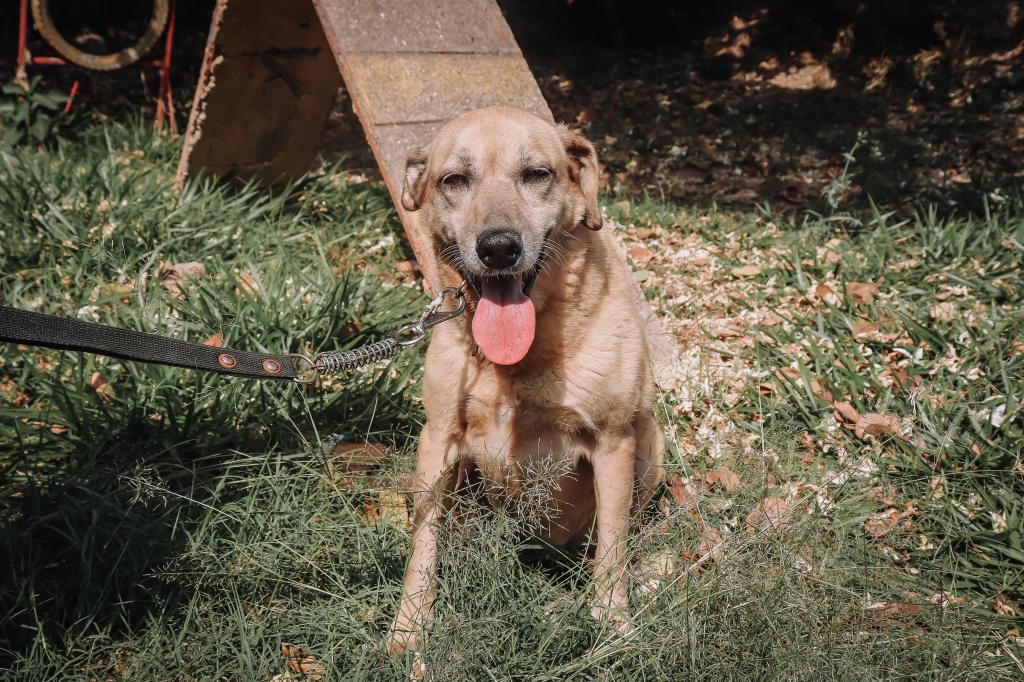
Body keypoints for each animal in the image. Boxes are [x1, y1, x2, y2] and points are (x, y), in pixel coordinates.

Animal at [389, 106, 664, 652]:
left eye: (537, 174)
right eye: (454, 180)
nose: (498, 248)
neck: (516, 363)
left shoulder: (614, 440)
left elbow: (613, 543)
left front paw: (612, 624)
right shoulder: (438, 438)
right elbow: (422, 542)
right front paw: (410, 626)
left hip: (651, 445)